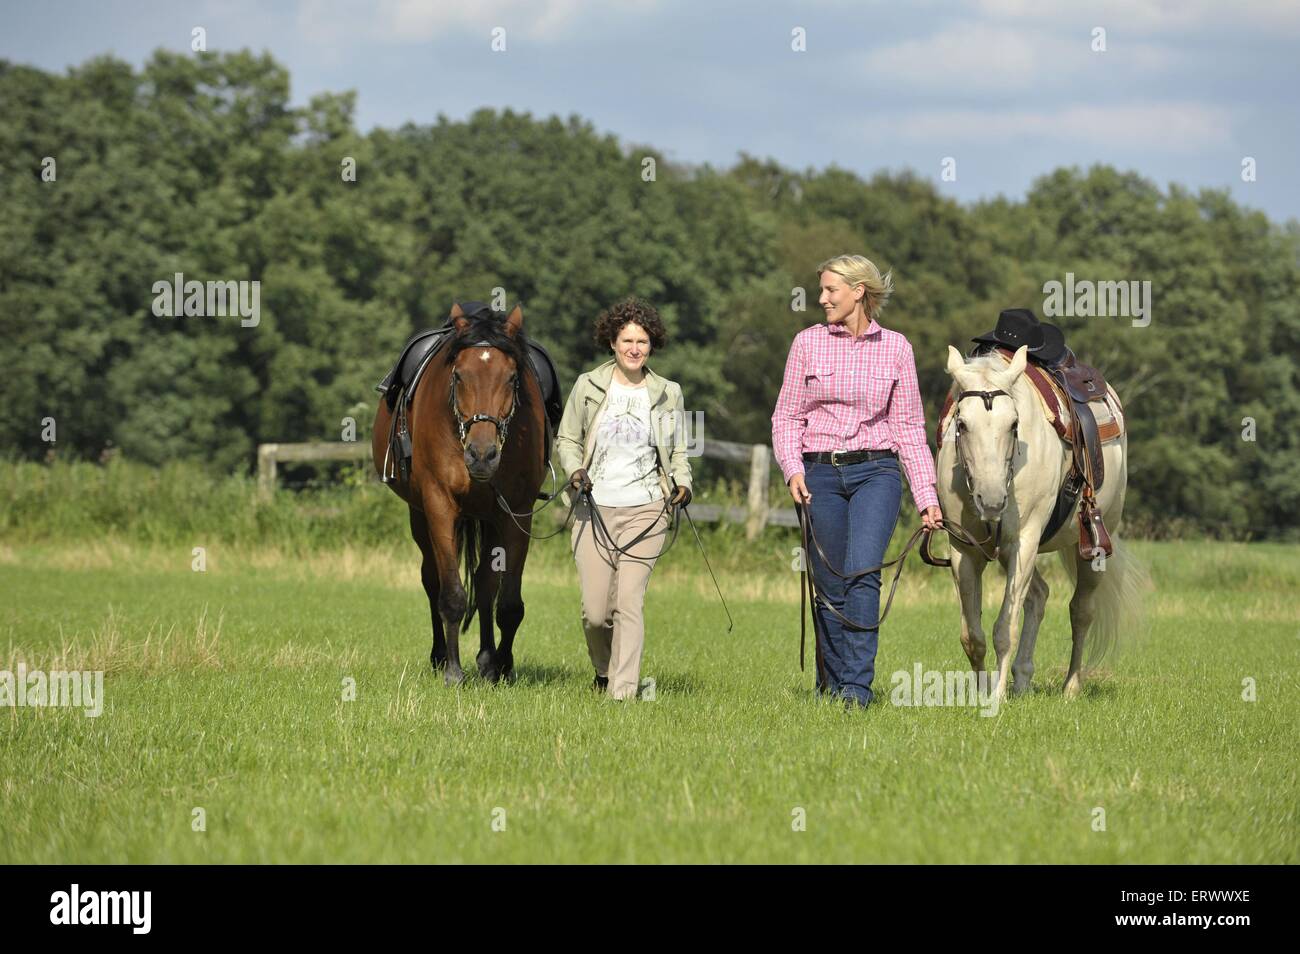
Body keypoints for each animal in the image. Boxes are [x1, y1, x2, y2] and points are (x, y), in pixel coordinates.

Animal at [371, 306, 548, 686]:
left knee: (484, 583)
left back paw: (486, 660)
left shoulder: (517, 512)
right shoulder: (439, 505)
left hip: (489, 519)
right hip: (420, 516)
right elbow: (451, 593)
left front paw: (502, 667)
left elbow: (508, 603)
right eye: (458, 376)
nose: (482, 455)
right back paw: (441, 656)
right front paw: (453, 672)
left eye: (512, 378)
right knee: (432, 578)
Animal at [935, 345, 1149, 701]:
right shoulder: (964, 550)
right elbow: (972, 635)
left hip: (1091, 547)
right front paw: (982, 692)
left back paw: (1071, 687)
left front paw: (996, 697)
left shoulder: (1023, 541)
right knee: (1038, 596)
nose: (991, 501)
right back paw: (1022, 680)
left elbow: (1004, 628)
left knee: (1081, 612)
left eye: (1014, 424)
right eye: (961, 424)